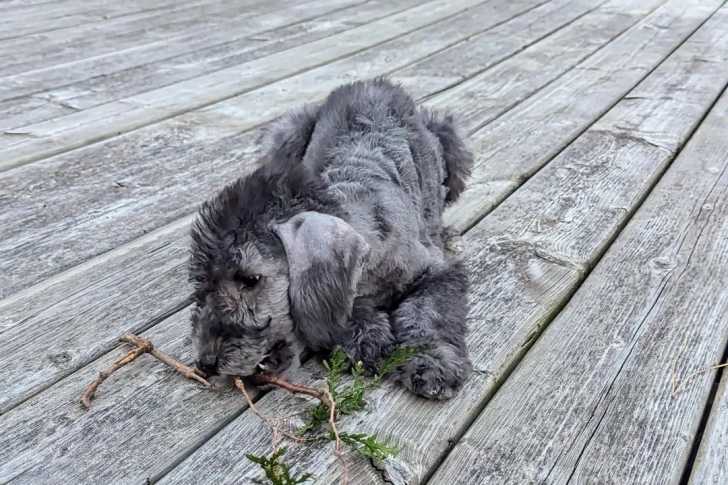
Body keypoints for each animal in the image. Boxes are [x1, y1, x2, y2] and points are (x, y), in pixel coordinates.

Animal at [188, 78, 473, 400]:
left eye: (250, 279)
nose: (205, 363)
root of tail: (372, 83)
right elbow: (348, 307)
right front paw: (366, 339)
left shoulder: (437, 272)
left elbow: (430, 312)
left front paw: (432, 362)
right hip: (285, 133)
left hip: (453, 142)